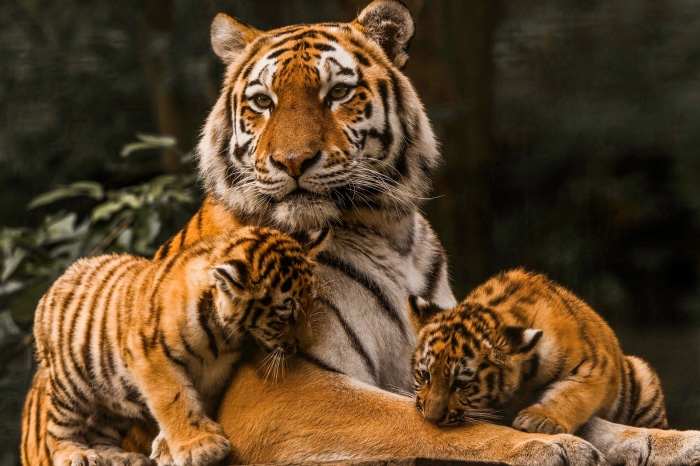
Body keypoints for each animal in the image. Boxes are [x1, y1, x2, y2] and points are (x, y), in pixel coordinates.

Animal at [30, 225, 326, 466]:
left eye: (311, 302)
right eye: (285, 315)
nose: (307, 344)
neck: (222, 335)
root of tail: (61, 277)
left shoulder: (215, 370)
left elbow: (195, 400)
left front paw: (170, 447)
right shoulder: (149, 354)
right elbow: (173, 399)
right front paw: (200, 446)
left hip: (112, 397)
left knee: (101, 429)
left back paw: (120, 458)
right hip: (70, 383)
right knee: (57, 427)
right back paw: (75, 454)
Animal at [409, 268, 668, 435]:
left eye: (461, 385)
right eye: (425, 375)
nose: (431, 418)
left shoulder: (594, 367)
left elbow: (571, 393)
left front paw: (538, 420)